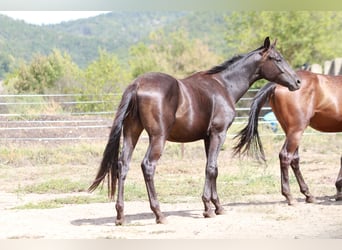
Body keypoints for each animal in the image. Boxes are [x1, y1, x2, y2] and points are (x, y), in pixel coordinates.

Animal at [87, 36, 300, 225]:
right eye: (277, 58)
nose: (297, 82)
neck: (224, 86)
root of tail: (137, 84)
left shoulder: (207, 137)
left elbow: (213, 169)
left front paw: (217, 206)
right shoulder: (218, 134)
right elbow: (211, 168)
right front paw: (208, 208)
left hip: (132, 133)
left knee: (122, 166)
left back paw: (120, 216)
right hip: (157, 138)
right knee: (148, 166)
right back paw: (159, 214)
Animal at [234, 70, 342, 205]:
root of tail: (276, 84)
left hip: (290, 131)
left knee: (294, 159)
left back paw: (308, 194)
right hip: (296, 131)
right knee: (286, 156)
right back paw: (289, 196)